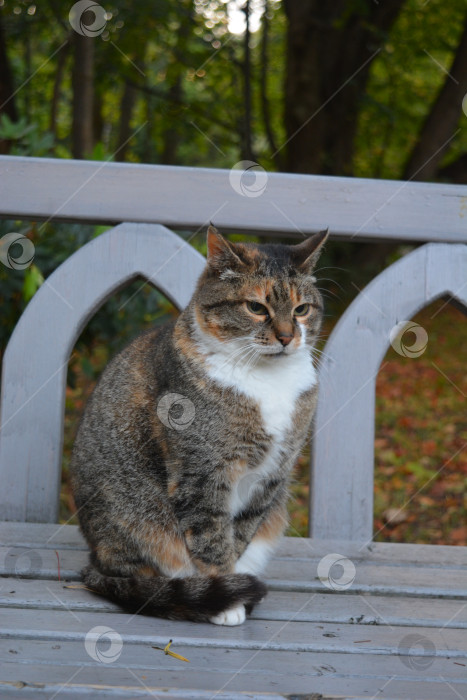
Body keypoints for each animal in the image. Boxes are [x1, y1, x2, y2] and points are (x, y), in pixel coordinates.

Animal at [71, 224, 330, 624]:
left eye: (302, 309)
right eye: (256, 307)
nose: (288, 337)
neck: (267, 380)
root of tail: (94, 559)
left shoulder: (272, 475)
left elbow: (240, 534)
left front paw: (235, 588)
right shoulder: (202, 472)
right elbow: (211, 539)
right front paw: (226, 598)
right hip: (136, 521)